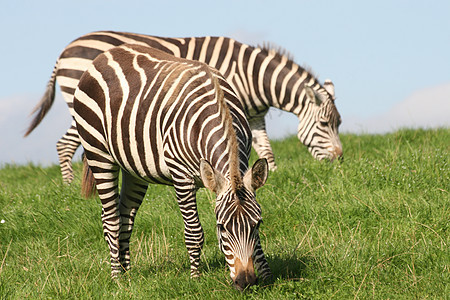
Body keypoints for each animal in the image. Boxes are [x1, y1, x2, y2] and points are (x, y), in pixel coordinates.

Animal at [25, 31, 342, 184]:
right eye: (324, 125)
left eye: (338, 124)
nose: (340, 160)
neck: (251, 75)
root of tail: (65, 51)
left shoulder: (254, 116)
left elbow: (266, 148)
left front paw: (270, 174)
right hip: (85, 106)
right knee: (67, 144)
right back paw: (67, 187)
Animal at [73, 43, 270, 290]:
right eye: (222, 227)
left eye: (257, 224)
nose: (245, 281)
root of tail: (104, 55)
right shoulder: (181, 176)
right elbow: (194, 233)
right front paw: (195, 279)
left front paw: (265, 273)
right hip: (98, 153)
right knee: (111, 220)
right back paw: (117, 279)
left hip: (134, 169)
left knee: (125, 217)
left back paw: (128, 276)